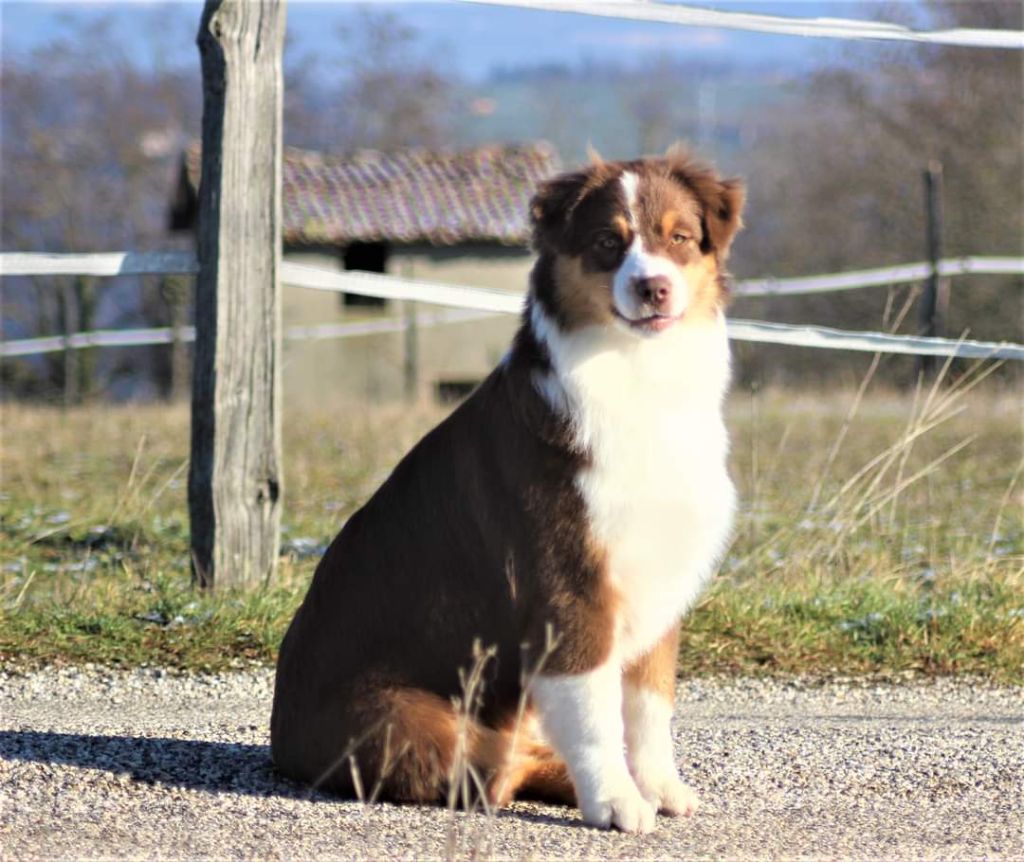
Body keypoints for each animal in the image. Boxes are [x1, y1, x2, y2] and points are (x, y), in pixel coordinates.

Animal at [272, 151, 745, 831]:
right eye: (607, 243)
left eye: (678, 237)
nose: (653, 287)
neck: (636, 372)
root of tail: (281, 743)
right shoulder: (568, 587)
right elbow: (596, 715)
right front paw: (616, 802)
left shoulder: (656, 578)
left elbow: (650, 706)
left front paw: (658, 787)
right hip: (412, 720)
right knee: (495, 771)